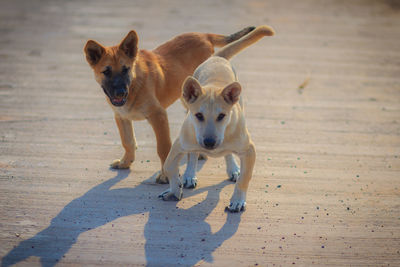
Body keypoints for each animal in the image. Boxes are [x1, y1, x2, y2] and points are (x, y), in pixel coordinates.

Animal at [83, 26, 255, 183]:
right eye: (106, 72)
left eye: (126, 69)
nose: (120, 93)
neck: (134, 84)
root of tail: (203, 35)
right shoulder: (121, 116)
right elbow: (128, 141)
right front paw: (126, 162)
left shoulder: (158, 116)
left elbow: (163, 148)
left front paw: (165, 176)